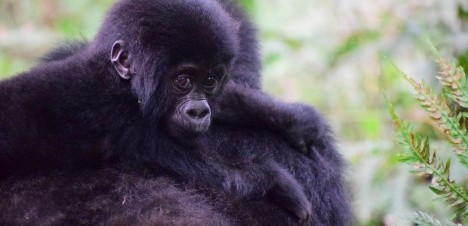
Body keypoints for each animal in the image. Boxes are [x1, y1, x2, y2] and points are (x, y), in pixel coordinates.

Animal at [0, 0, 352, 224]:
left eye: (209, 80)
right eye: (182, 81)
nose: (199, 112)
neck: (122, 83)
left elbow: (228, 101)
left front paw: (294, 120)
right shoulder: (122, 118)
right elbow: (214, 171)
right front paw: (276, 182)